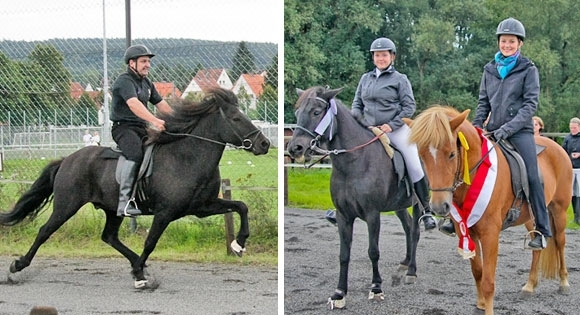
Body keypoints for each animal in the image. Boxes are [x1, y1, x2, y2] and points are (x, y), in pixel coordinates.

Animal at [0, 87, 270, 290]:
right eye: (236, 118)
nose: (264, 143)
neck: (187, 157)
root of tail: (67, 160)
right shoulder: (165, 214)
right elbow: (150, 242)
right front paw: (140, 275)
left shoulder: (203, 206)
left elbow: (241, 206)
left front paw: (238, 244)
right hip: (67, 206)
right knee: (45, 231)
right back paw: (17, 267)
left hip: (112, 210)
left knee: (109, 236)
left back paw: (137, 266)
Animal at [286, 85, 422, 310]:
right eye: (297, 112)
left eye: (316, 112)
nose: (295, 148)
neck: (354, 162)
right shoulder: (343, 216)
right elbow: (344, 254)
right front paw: (339, 293)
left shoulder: (372, 214)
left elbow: (373, 251)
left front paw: (376, 288)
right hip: (400, 205)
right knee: (408, 227)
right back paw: (404, 263)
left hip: (418, 203)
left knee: (415, 231)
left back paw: (411, 271)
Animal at [404, 106, 572, 315]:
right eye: (421, 155)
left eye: (451, 154)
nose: (438, 206)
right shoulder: (466, 230)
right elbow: (478, 272)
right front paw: (481, 304)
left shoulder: (490, 234)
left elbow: (488, 281)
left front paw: (487, 307)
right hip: (530, 219)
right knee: (537, 247)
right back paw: (529, 286)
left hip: (559, 210)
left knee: (560, 243)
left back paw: (564, 283)